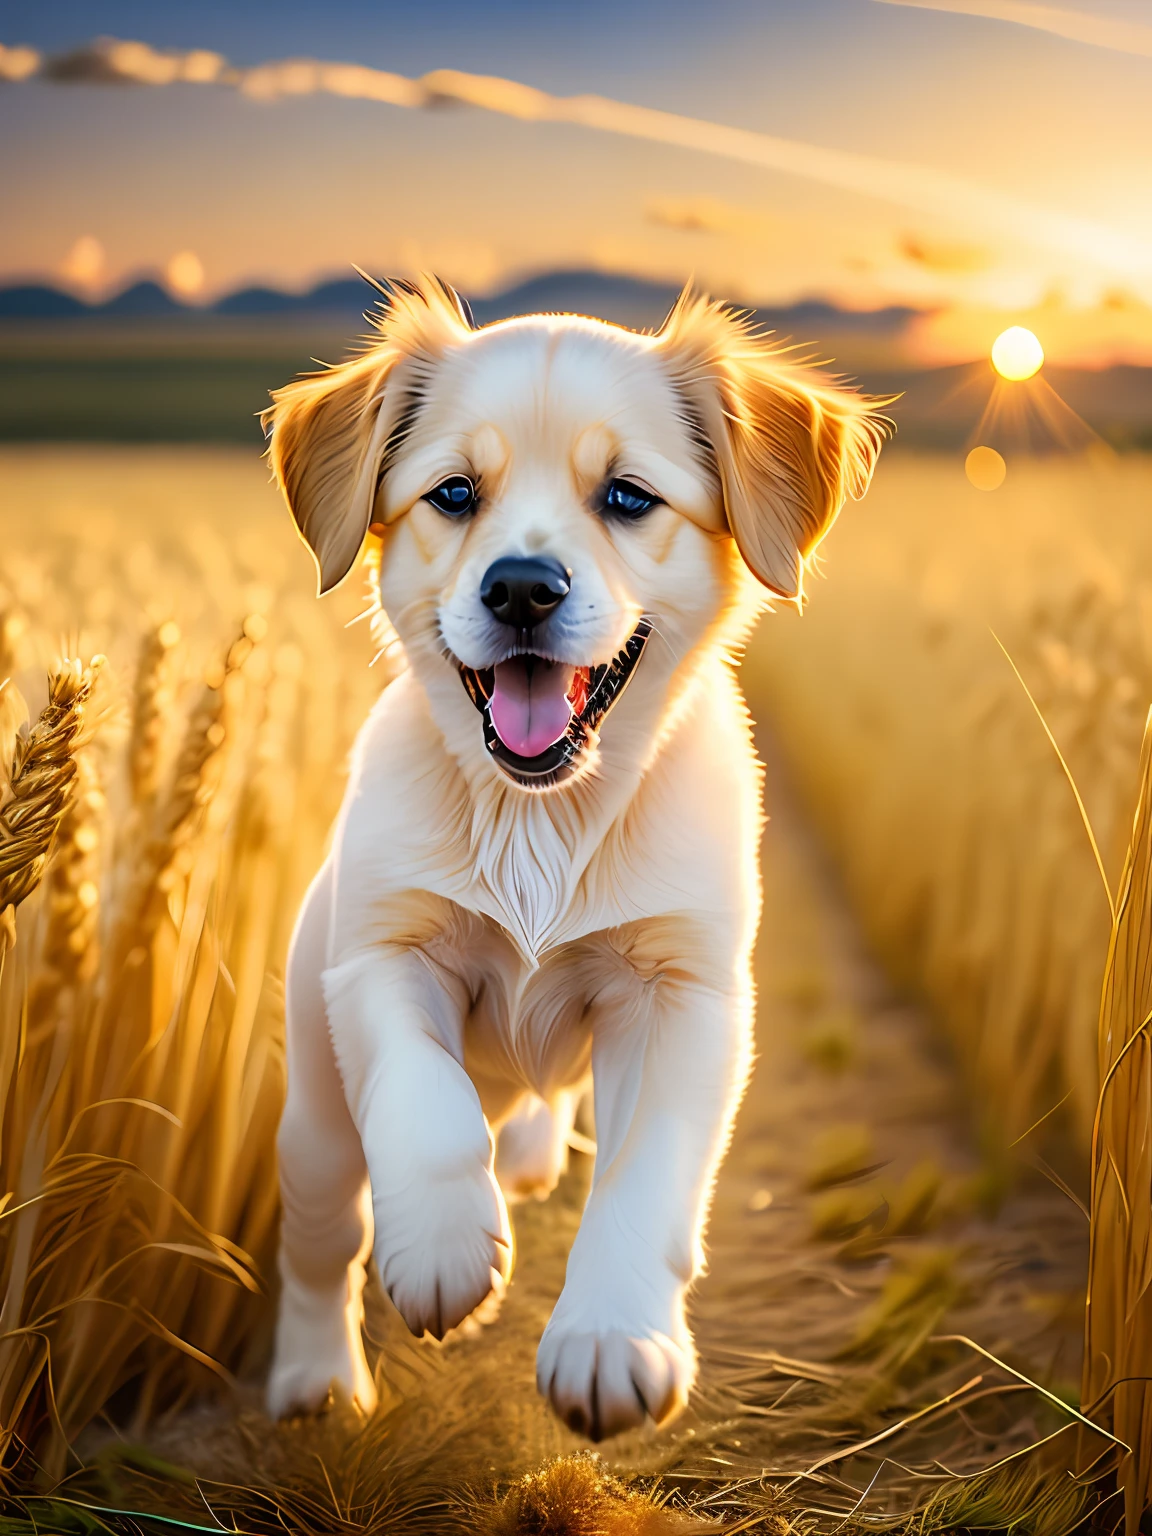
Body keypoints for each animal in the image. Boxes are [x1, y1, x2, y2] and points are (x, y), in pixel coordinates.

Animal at [265, 279, 890, 1437]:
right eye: (454, 492)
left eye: (629, 496)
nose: (520, 588)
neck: (538, 821)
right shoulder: (380, 956)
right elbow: (423, 1101)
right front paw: (445, 1250)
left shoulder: (684, 995)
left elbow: (647, 1176)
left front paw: (609, 1340)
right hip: (315, 1130)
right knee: (322, 1248)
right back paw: (317, 1382)